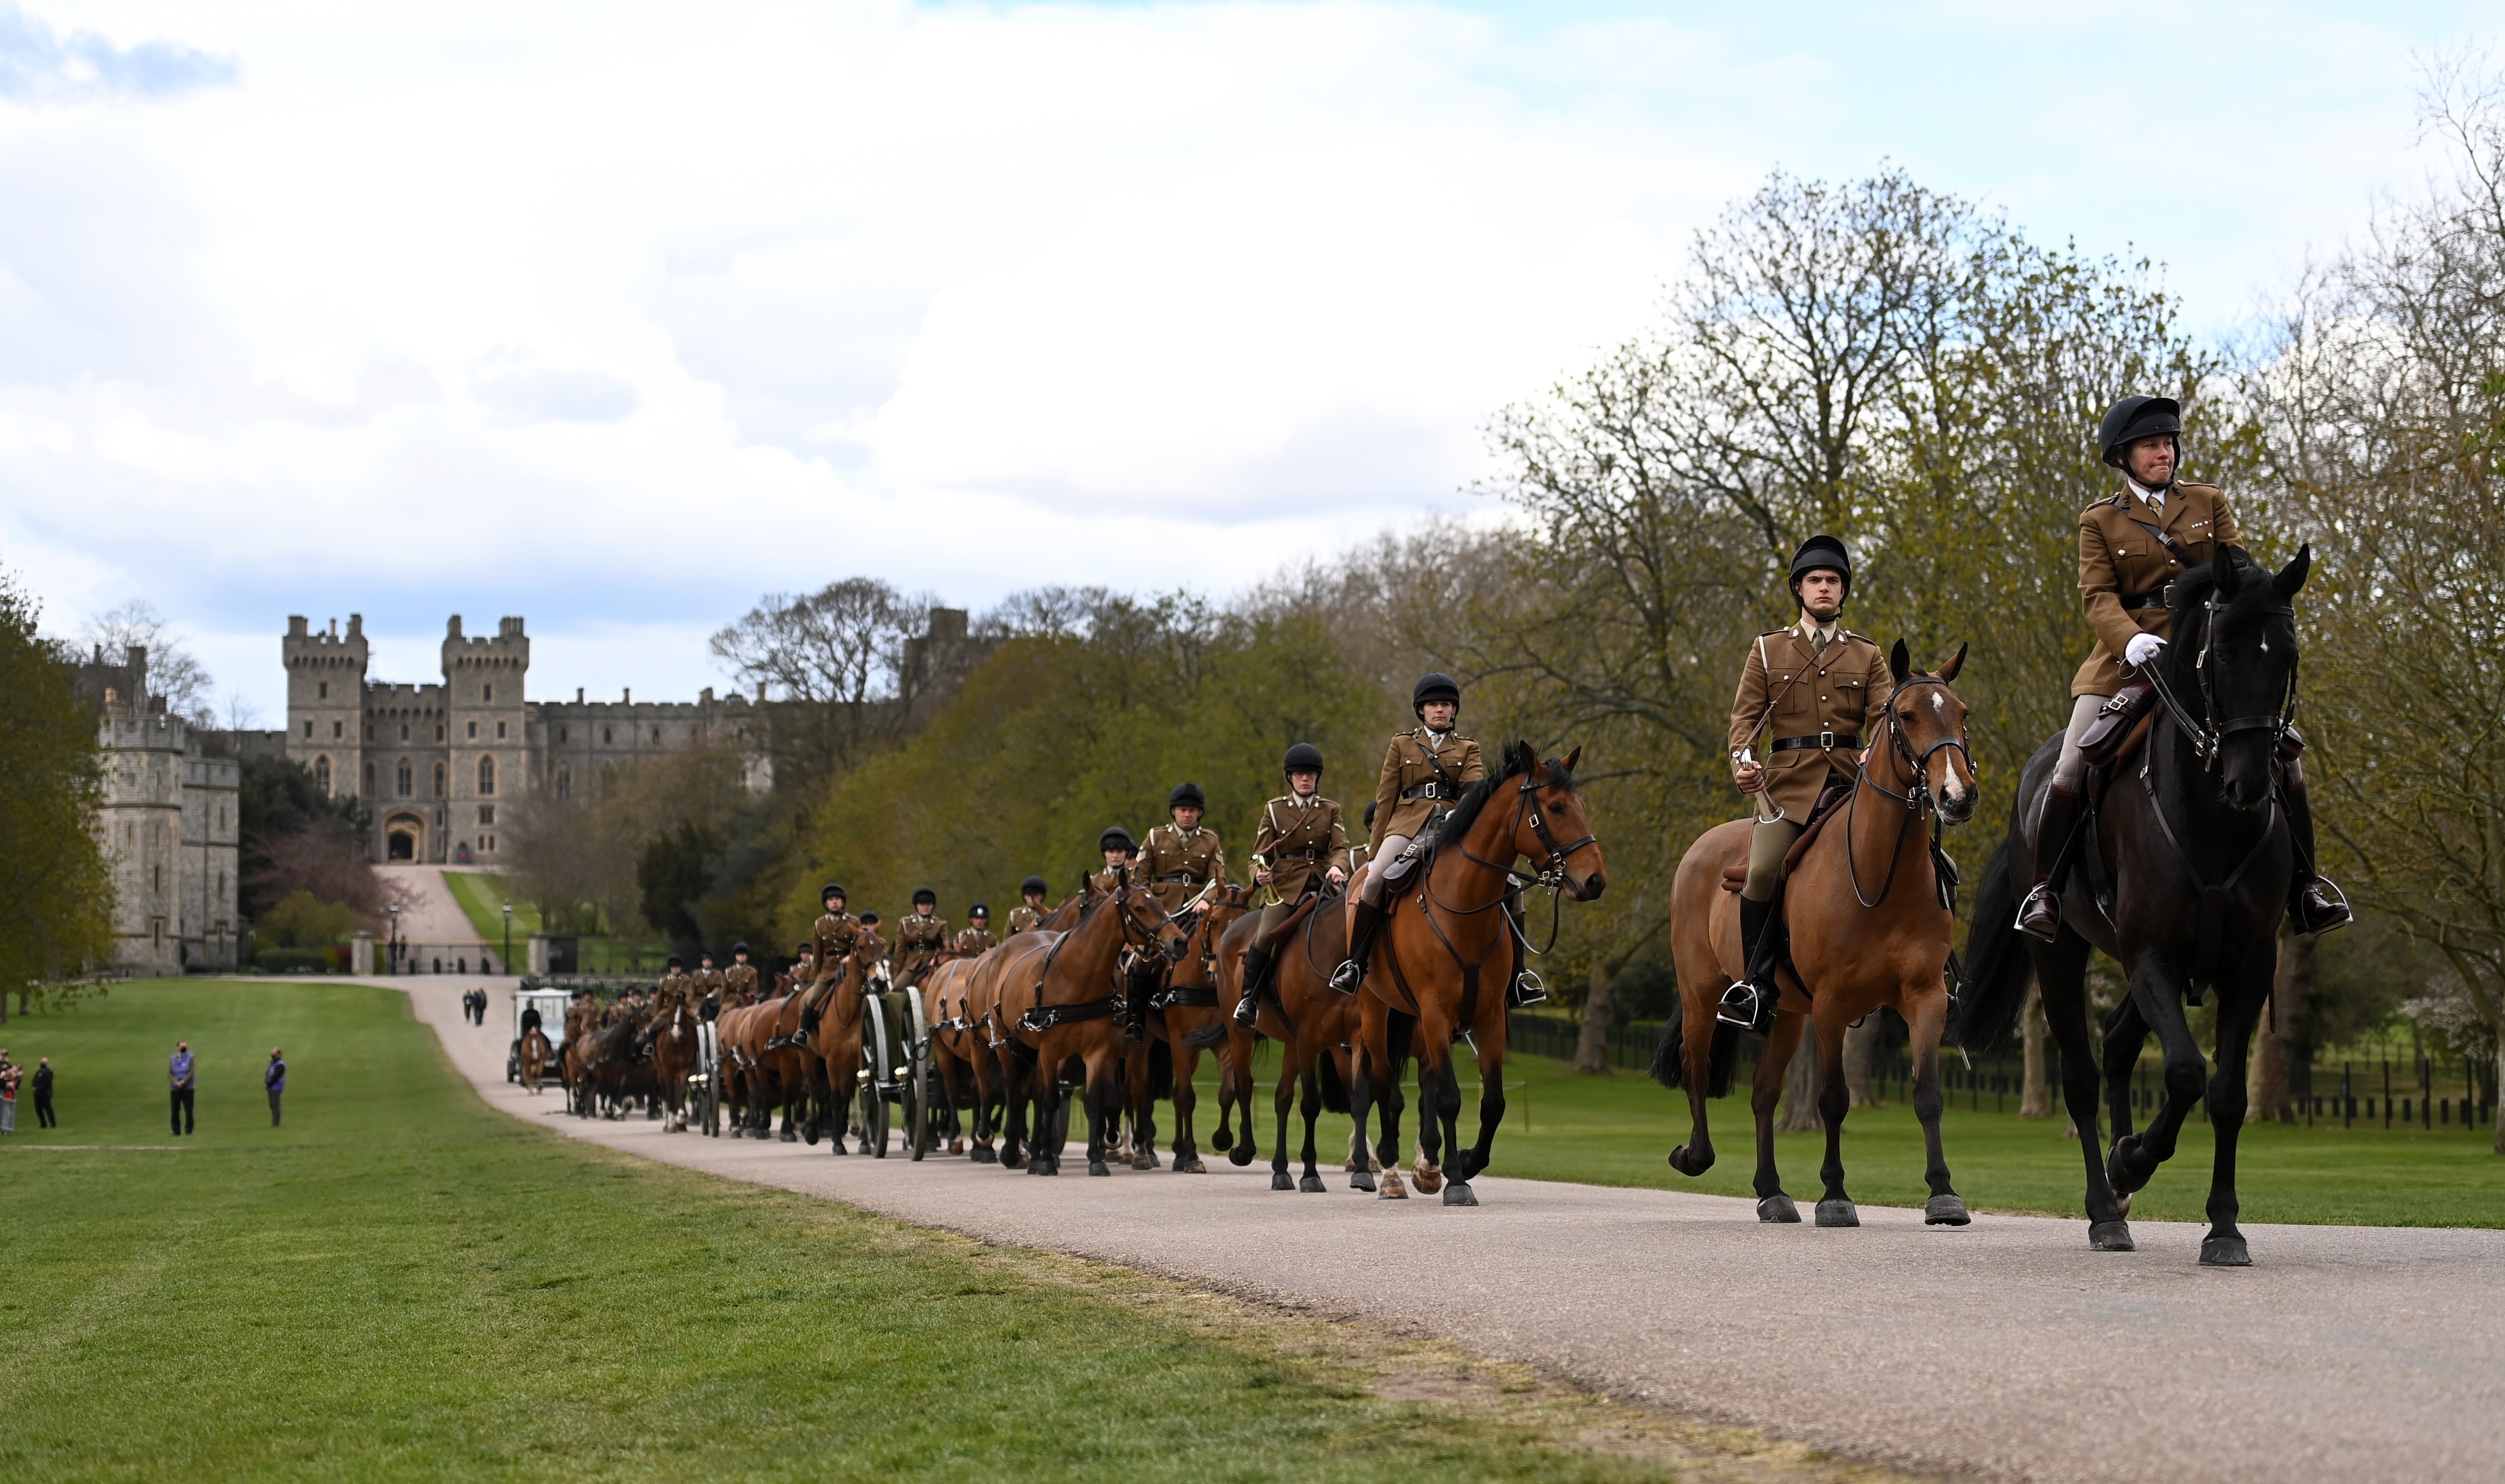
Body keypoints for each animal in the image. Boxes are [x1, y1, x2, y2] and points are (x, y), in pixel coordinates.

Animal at [1353, 740, 1603, 1201]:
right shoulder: (1436, 1015)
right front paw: (1456, 1180)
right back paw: (1392, 1173)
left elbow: (1493, 1102)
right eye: (1557, 807)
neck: (1463, 904)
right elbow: (1450, 1099)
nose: (1595, 879)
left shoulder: (1489, 1017)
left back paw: (1424, 1167)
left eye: (1581, 806)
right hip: (1375, 1010)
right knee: (1382, 1084)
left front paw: (1467, 1161)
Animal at [1663, 640, 1974, 1221]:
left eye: (1962, 714)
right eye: (1906, 715)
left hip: (1785, 1011)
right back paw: (1696, 1155)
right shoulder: (1832, 1005)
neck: (1879, 875)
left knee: (1763, 1091)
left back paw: (1771, 1191)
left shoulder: (1925, 997)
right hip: (1701, 995)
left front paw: (1943, 1192)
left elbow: (1928, 1095)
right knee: (1694, 1068)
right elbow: (1833, 1099)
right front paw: (1834, 1195)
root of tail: (1702, 846)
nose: (1956, 796)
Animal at [1953, 543, 2304, 1261]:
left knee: (2116, 1047)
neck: (2210, 820)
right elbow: (2184, 1073)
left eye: (2285, 654)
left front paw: (2223, 1227)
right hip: (2059, 953)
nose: (2249, 784)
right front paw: (2134, 1158)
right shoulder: (2151, 957)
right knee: (2083, 1077)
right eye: (2221, 652)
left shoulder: (2248, 965)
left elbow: (2225, 1093)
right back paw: (2103, 1207)